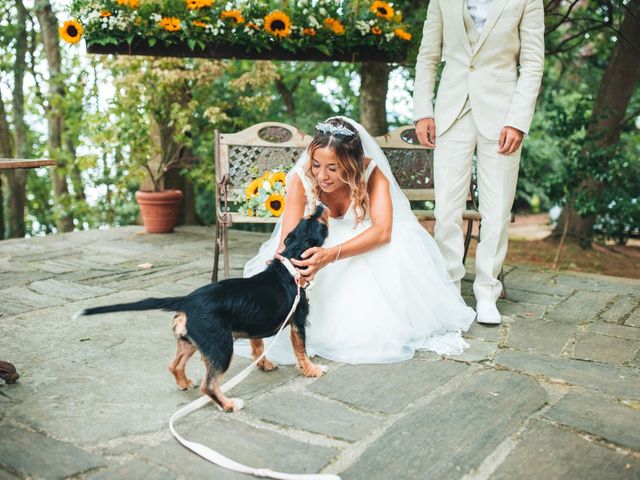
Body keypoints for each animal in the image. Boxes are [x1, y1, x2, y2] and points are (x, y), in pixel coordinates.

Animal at [76, 204, 330, 410]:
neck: (289, 267)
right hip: (221, 347)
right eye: (319, 222)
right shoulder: (298, 322)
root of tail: (186, 300)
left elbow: (257, 348)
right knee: (208, 386)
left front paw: (265, 365)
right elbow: (301, 351)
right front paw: (313, 370)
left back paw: (184, 384)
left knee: (174, 365)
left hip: (193, 341)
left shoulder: (254, 326)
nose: (320, 205)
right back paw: (229, 405)